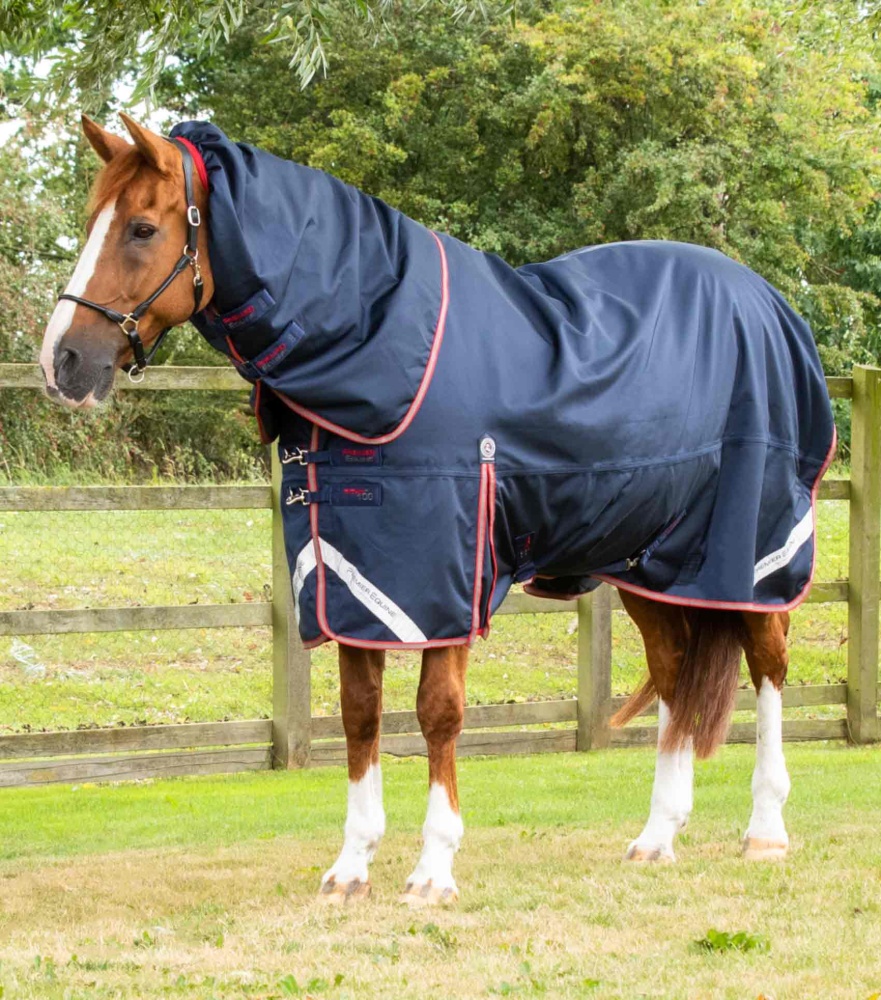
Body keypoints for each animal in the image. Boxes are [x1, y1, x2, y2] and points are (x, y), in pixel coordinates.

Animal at [39, 113, 834, 906]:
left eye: (142, 228)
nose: (62, 361)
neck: (373, 342)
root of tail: (769, 305)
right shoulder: (348, 576)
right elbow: (360, 713)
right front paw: (351, 867)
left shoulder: (448, 575)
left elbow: (437, 713)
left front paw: (433, 869)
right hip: (648, 561)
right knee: (673, 670)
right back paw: (657, 836)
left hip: (749, 558)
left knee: (768, 665)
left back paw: (765, 830)